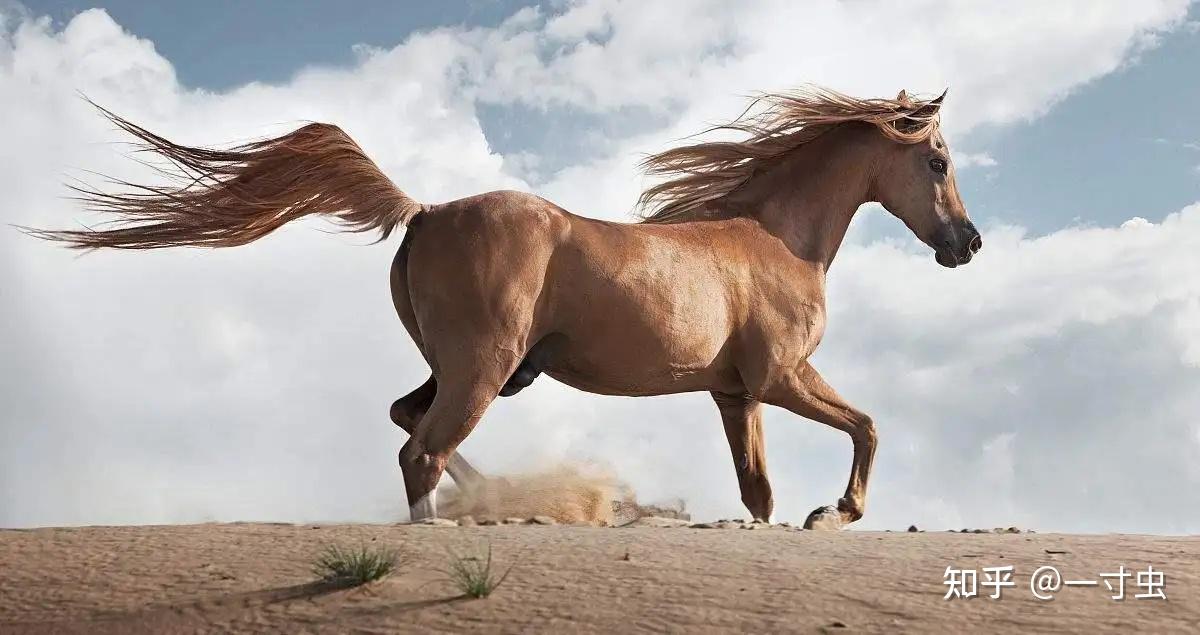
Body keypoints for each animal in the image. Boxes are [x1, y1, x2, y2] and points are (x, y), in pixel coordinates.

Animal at [26, 86, 980, 529]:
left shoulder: (733, 393)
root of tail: (423, 211)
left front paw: (798, 517)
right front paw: (837, 512)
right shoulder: (781, 375)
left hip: (478, 369)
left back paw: (497, 497)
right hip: (483, 370)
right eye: (935, 159)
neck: (775, 238)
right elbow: (867, 426)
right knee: (419, 449)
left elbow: (758, 493)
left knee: (410, 424)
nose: (967, 244)